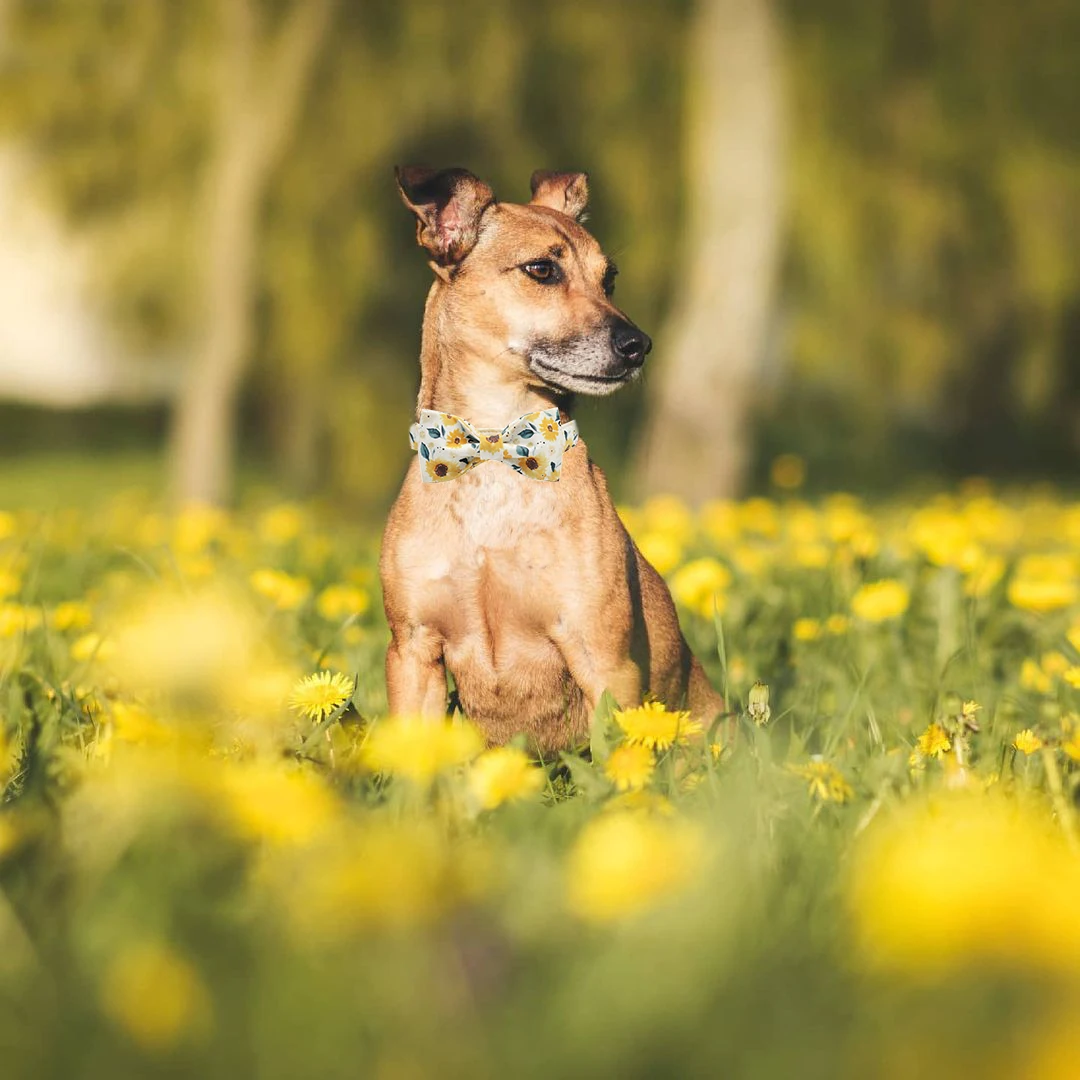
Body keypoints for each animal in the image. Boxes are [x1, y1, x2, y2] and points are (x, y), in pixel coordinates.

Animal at [380, 168, 725, 756]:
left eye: (610, 279)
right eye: (542, 269)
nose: (639, 345)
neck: (495, 449)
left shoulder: (604, 662)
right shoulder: (413, 653)